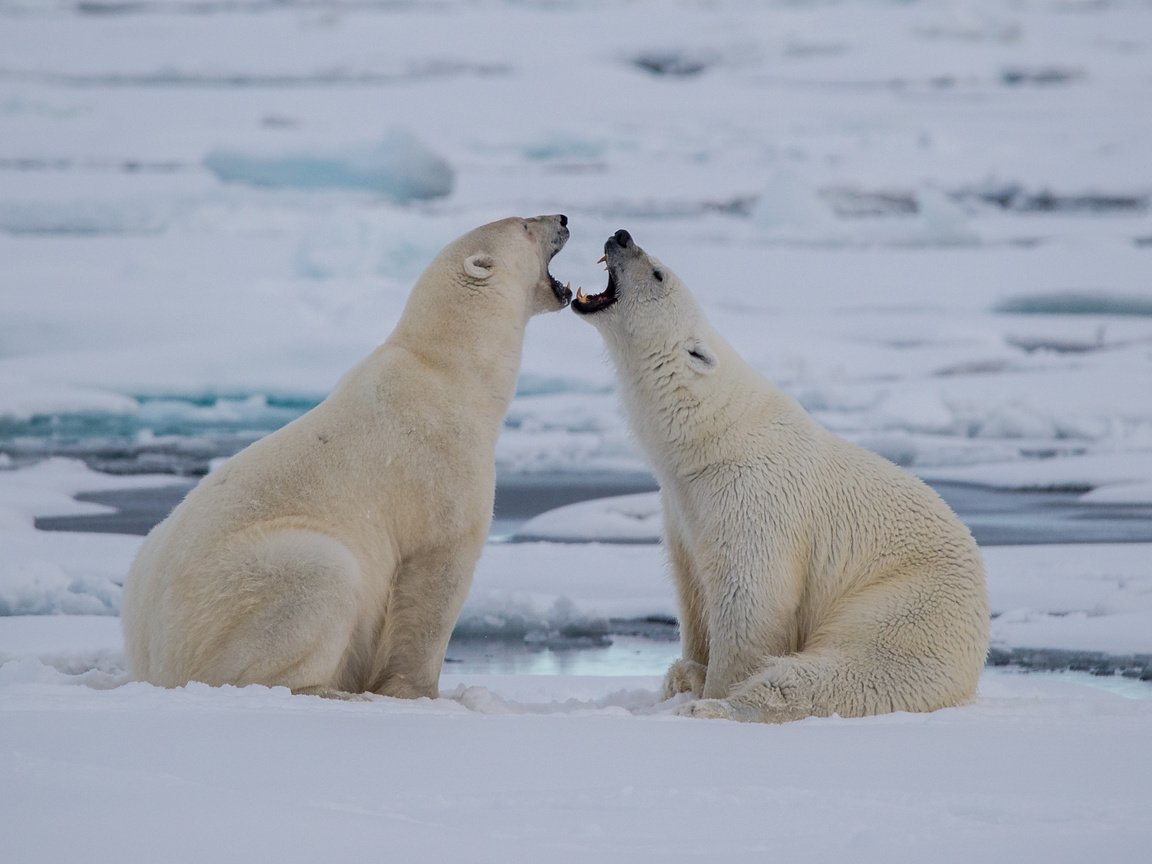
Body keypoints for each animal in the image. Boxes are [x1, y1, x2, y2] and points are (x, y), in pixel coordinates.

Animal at [123, 215, 573, 695]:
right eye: (525, 225)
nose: (562, 219)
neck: (449, 370)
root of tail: (155, 662)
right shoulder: (442, 463)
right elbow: (437, 575)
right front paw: (420, 692)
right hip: (242, 590)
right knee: (321, 579)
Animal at [576, 228, 990, 723]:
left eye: (657, 272)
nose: (621, 236)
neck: (713, 436)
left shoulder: (754, 496)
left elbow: (751, 599)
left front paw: (712, 688)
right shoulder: (681, 509)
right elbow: (691, 592)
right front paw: (690, 671)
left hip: (905, 612)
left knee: (831, 677)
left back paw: (714, 708)